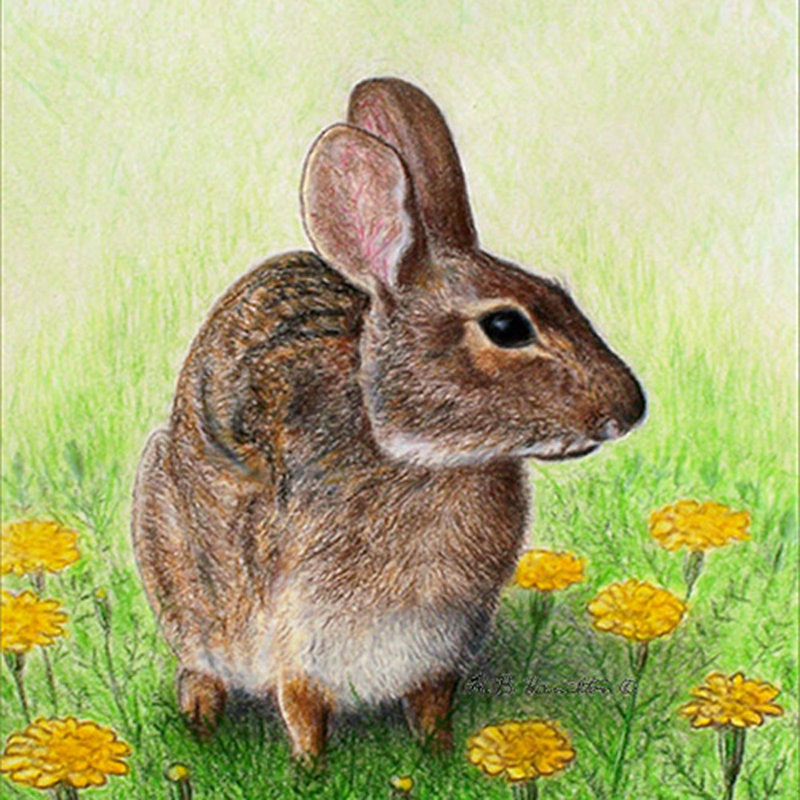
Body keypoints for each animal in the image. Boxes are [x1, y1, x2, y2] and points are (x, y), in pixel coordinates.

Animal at [131, 77, 645, 762]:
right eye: (506, 326)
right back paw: (200, 721)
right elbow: (303, 713)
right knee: (200, 665)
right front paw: (310, 771)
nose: (630, 408)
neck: (410, 450)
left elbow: (431, 707)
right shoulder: (299, 639)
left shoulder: (439, 649)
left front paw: (441, 758)